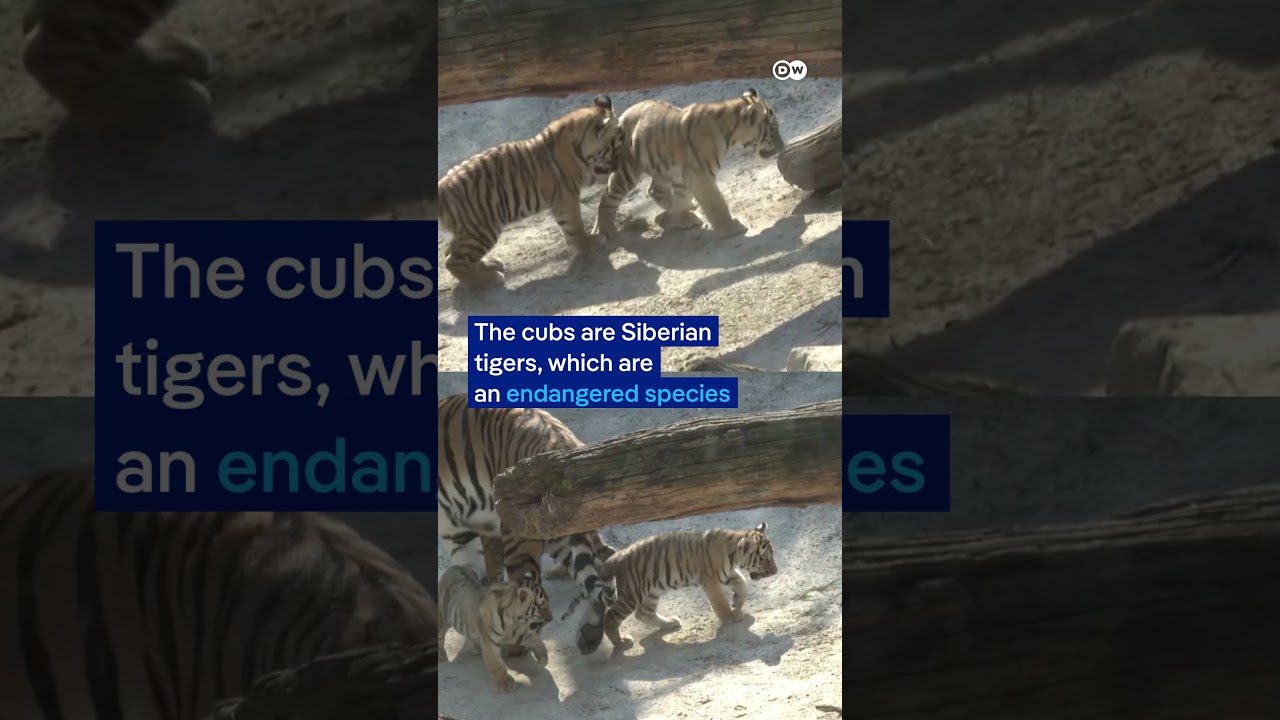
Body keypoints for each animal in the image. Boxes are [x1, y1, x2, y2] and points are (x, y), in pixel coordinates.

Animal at [438, 94, 627, 291]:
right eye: (618, 144)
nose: (625, 158)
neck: (579, 147)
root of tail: (441, 189)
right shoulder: (567, 196)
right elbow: (575, 227)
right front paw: (588, 245)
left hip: (470, 232)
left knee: (450, 253)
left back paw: (490, 264)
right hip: (482, 229)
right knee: (453, 260)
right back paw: (488, 280)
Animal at [438, 565, 552, 693]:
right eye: (543, 605)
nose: (551, 618)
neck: (513, 620)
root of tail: (452, 567)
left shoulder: (520, 631)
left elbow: (536, 640)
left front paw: (543, 659)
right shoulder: (489, 641)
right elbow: (496, 664)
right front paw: (505, 683)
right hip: (442, 616)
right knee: (439, 633)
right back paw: (440, 653)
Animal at [576, 523, 778, 655]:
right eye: (764, 558)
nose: (775, 571)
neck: (733, 553)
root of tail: (616, 557)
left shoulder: (727, 575)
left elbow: (743, 586)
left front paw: (736, 603)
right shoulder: (711, 580)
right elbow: (720, 602)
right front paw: (730, 616)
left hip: (651, 591)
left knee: (643, 613)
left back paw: (669, 623)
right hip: (631, 594)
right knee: (611, 617)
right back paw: (621, 642)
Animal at [592, 88, 785, 242]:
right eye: (773, 128)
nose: (782, 146)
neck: (730, 133)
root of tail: (621, 116)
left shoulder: (687, 175)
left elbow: (682, 197)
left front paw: (680, 216)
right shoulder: (700, 175)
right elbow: (716, 203)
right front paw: (731, 227)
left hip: (664, 168)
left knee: (655, 191)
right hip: (627, 169)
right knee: (608, 197)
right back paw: (603, 230)